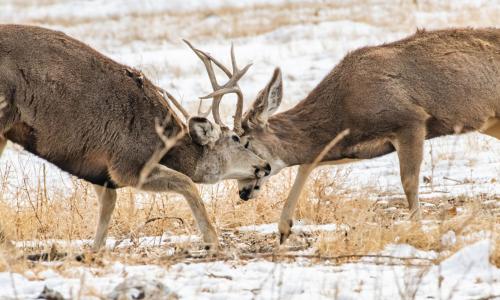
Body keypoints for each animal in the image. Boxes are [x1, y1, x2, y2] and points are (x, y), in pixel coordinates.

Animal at [0, 25, 272, 251]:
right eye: (237, 139)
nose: (265, 165)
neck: (164, 139)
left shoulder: (100, 170)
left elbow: (108, 206)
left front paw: (93, 251)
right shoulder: (128, 163)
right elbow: (187, 182)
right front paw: (212, 241)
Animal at [203, 28, 500, 244]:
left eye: (244, 142)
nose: (243, 192)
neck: (343, 105)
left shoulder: (411, 120)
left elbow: (409, 182)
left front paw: (417, 231)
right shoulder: (353, 145)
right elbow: (306, 164)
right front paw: (284, 229)